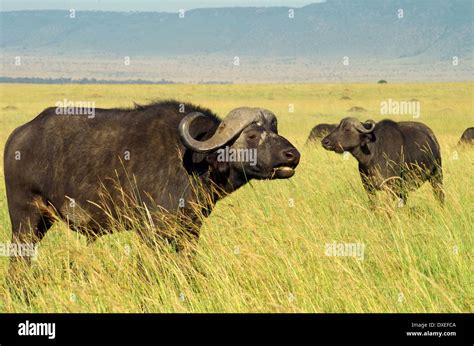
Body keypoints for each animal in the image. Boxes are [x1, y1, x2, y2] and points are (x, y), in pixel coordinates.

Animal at [4, 99, 300, 268]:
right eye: (252, 135)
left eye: (274, 130)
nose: (292, 155)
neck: (195, 161)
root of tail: (18, 137)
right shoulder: (151, 232)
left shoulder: (190, 231)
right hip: (25, 219)